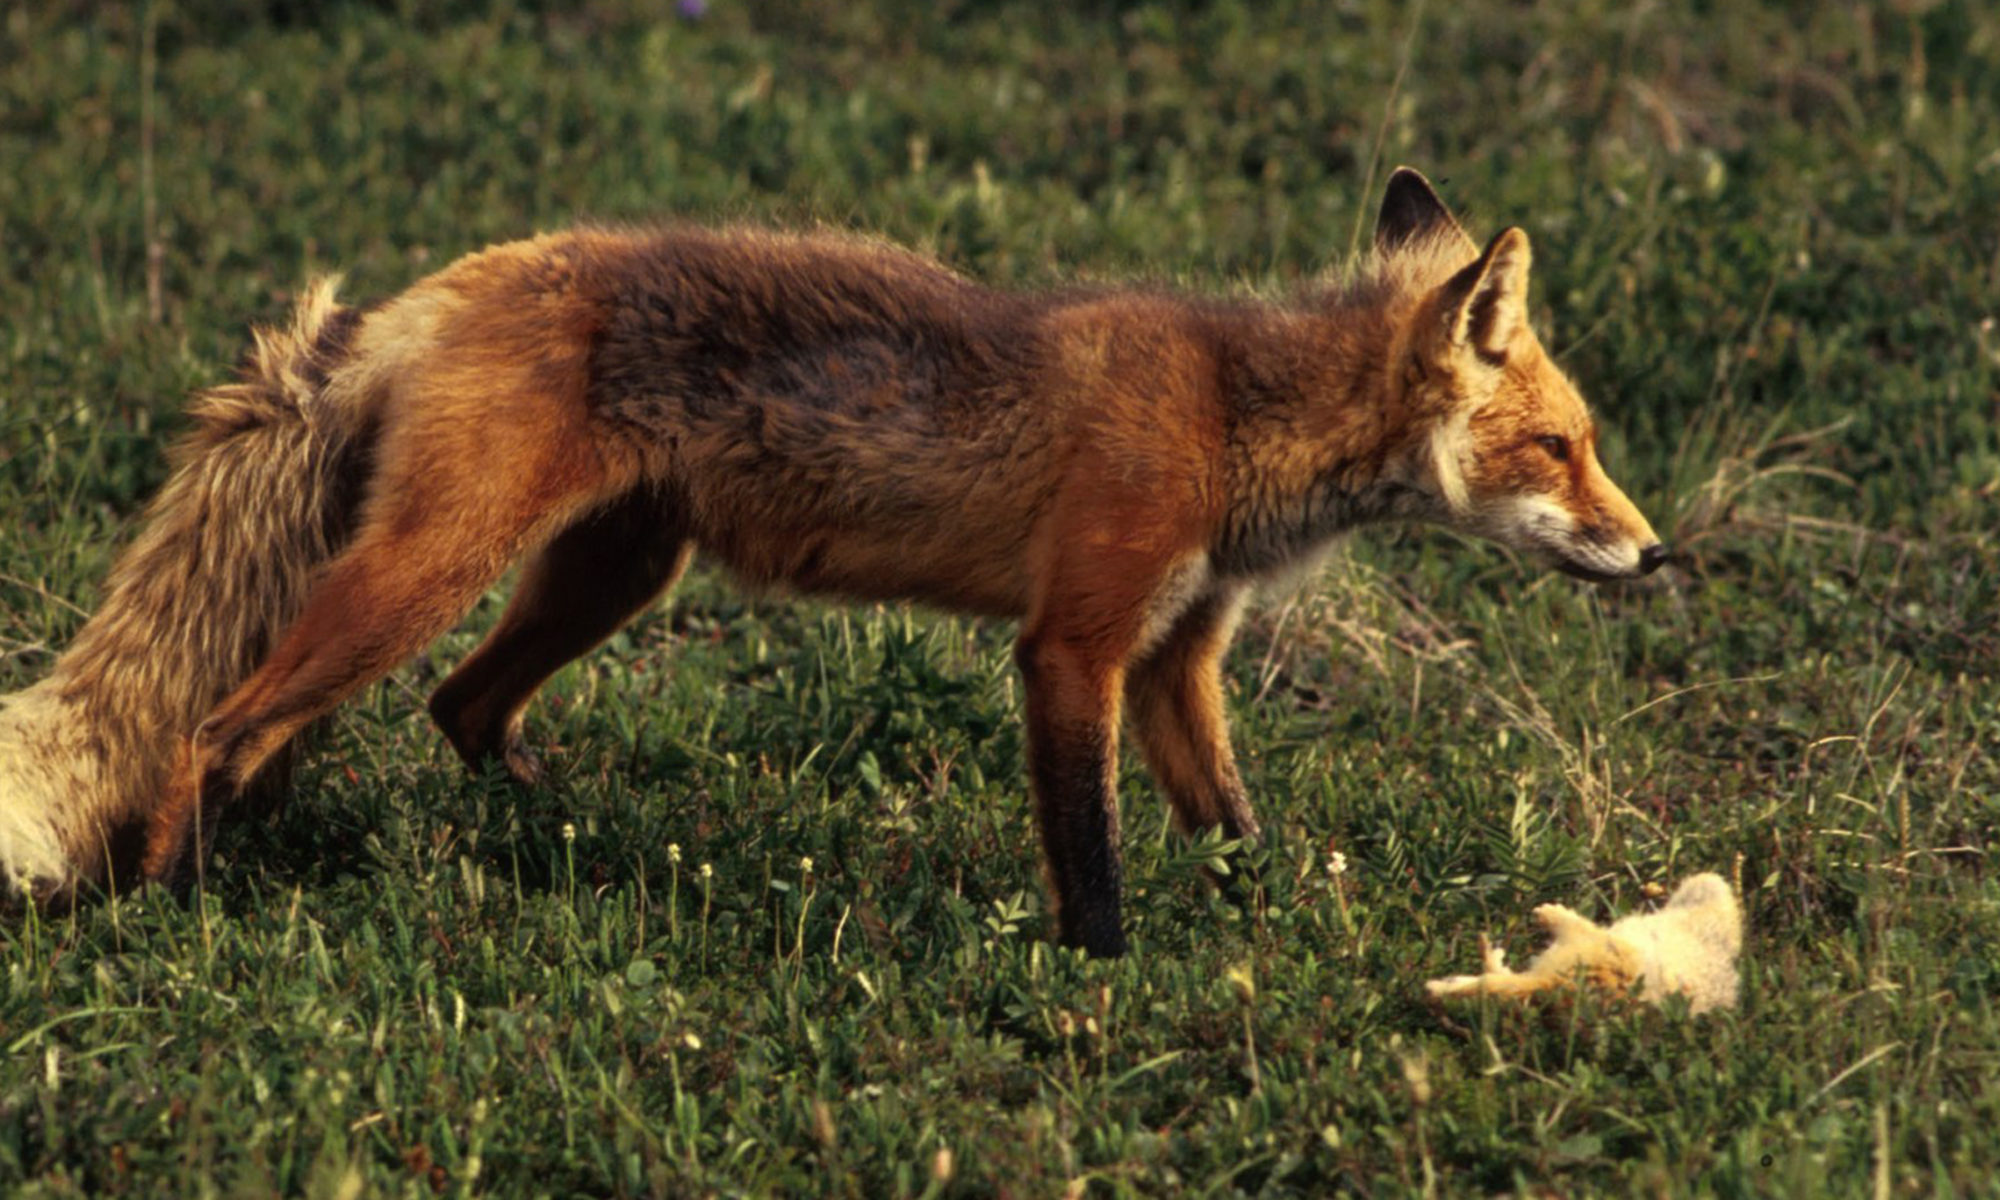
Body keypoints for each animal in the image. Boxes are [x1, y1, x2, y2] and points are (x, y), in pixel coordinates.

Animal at [0, 169, 1656, 956]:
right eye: (1562, 448)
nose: (1655, 555)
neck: (1233, 413)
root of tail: (423, 295)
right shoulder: (1074, 644)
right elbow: (1092, 853)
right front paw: (1105, 983)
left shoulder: (1177, 658)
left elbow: (1235, 825)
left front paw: (1269, 932)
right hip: (430, 571)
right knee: (217, 724)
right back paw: (172, 898)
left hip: (612, 574)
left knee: (452, 710)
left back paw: (542, 834)